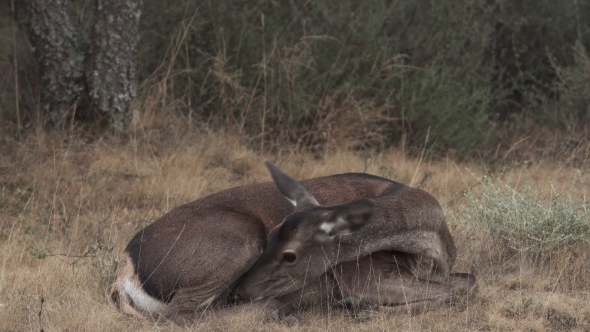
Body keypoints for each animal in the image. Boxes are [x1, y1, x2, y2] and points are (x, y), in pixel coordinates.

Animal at [108, 161, 476, 324]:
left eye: (289, 255)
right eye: (271, 236)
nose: (241, 290)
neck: (435, 250)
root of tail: (123, 277)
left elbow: (468, 281)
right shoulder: (361, 273)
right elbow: (460, 290)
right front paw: (362, 307)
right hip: (235, 239)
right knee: (180, 316)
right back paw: (280, 309)